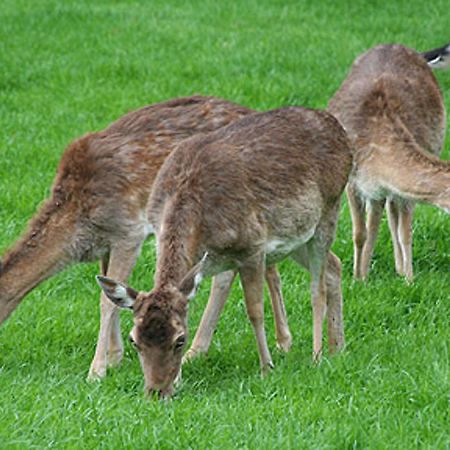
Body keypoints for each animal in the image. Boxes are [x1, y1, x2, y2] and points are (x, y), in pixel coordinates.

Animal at [0, 95, 292, 380]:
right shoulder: (106, 244)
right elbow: (110, 291)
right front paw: (115, 358)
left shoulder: (128, 231)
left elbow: (106, 302)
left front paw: (96, 371)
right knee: (264, 267)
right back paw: (271, 342)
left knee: (233, 273)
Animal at [97, 107, 352, 400]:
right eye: (134, 340)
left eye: (179, 340)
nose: (156, 391)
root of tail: (339, 129)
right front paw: (180, 379)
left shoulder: (253, 246)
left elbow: (255, 311)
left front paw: (266, 368)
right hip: (297, 238)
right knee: (335, 265)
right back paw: (338, 347)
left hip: (329, 210)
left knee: (317, 287)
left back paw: (317, 354)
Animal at [326, 43, 450, 282]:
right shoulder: (354, 182)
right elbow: (360, 233)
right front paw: (358, 278)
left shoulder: (386, 190)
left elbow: (404, 231)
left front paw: (409, 280)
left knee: (394, 216)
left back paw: (400, 269)